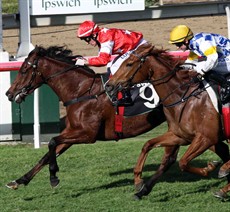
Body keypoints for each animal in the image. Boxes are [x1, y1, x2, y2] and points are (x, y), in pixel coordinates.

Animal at [4, 45, 167, 191]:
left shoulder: (88, 134)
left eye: (23, 70)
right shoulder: (72, 131)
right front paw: (19, 180)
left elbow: (52, 142)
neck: (80, 91)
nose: (9, 93)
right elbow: (47, 154)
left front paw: (53, 177)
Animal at [105, 43, 230, 199]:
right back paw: (223, 187)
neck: (183, 98)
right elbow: (148, 145)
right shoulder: (180, 136)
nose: (109, 85)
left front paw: (210, 167)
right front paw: (139, 182)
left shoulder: (206, 138)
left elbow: (183, 162)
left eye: (129, 64)